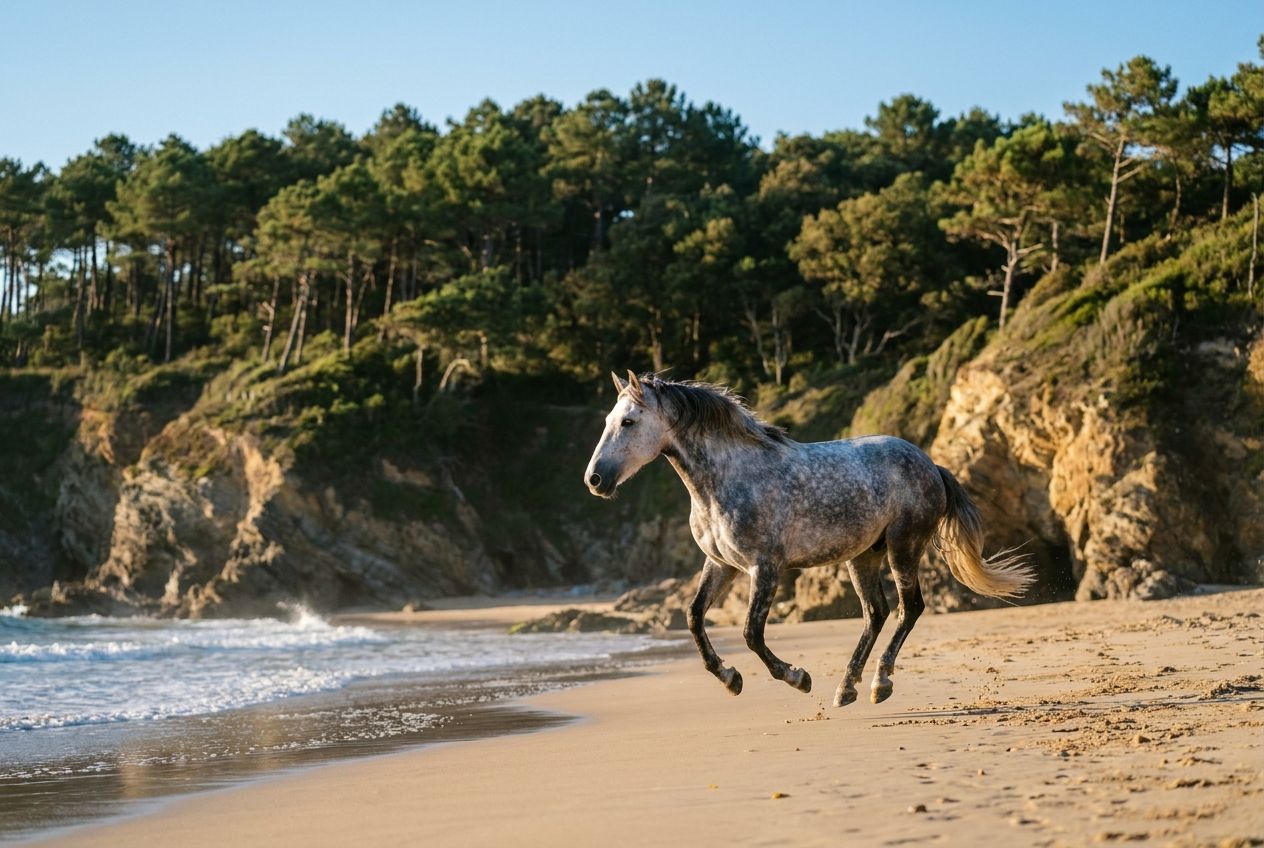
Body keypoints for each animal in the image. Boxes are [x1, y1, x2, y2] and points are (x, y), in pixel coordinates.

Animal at [584, 371, 1033, 707]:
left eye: (628, 422)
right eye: (607, 421)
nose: (595, 480)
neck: (727, 478)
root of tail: (930, 463)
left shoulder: (765, 567)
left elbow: (751, 632)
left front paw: (797, 677)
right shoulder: (722, 564)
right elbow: (694, 618)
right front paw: (730, 678)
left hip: (904, 547)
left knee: (910, 608)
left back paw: (879, 684)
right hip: (863, 556)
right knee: (876, 613)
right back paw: (847, 688)